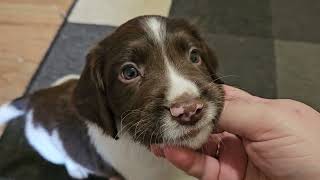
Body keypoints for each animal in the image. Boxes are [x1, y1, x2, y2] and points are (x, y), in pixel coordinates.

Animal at [0, 15, 225, 180]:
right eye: (129, 72)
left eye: (194, 56)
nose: (190, 109)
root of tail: (34, 97)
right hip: (46, 146)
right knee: (66, 157)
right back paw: (76, 169)